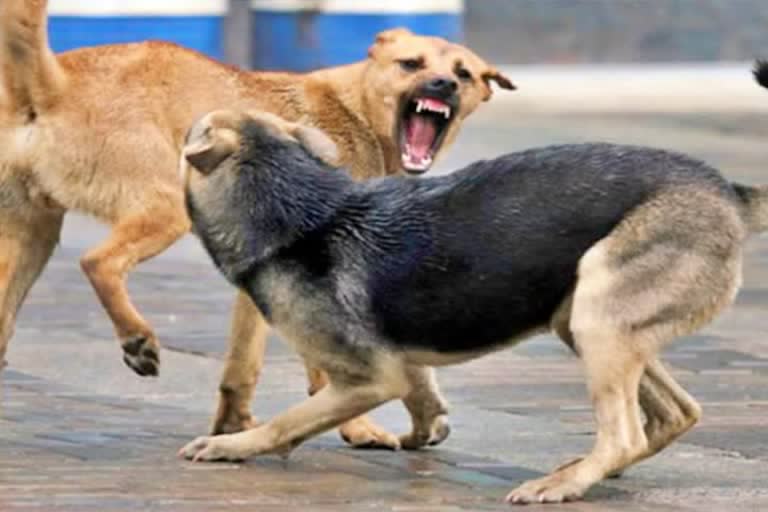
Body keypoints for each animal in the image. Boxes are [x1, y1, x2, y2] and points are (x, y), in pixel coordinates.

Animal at [0, 0, 516, 448]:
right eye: (411, 64)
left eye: (464, 74)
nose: (443, 85)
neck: (357, 112)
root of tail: (55, 83)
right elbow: (329, 369)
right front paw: (360, 428)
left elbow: (243, 364)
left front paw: (233, 427)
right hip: (163, 209)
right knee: (97, 262)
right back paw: (137, 339)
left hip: (32, 240)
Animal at [178, 108, 768, 504]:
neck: (301, 210)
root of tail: (726, 190)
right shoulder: (399, 363)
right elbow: (421, 398)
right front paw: (421, 434)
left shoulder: (369, 378)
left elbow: (289, 421)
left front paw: (232, 445)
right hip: (588, 321)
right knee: (675, 413)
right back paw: (590, 468)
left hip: (598, 315)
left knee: (624, 434)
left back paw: (567, 482)